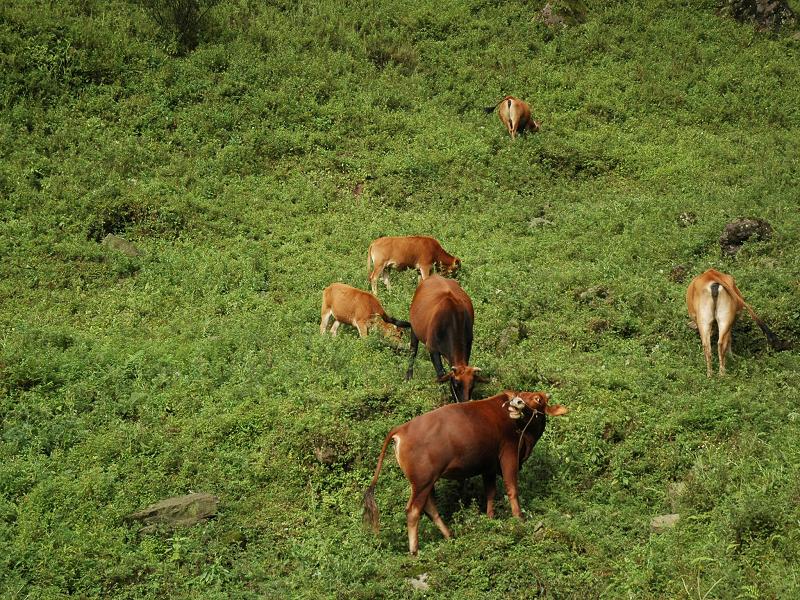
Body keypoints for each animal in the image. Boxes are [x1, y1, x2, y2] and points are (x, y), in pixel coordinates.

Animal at [362, 392, 568, 556]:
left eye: (537, 398)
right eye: (521, 395)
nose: (516, 402)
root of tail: (401, 429)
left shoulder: (488, 466)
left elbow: (490, 492)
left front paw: (490, 518)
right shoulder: (508, 454)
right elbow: (512, 488)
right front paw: (519, 518)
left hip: (425, 482)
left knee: (429, 507)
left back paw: (449, 535)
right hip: (422, 481)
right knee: (413, 511)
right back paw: (414, 550)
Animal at [404, 276, 484, 404]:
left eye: (472, 386)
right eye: (456, 384)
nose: (464, 402)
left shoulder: (468, 345)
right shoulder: (432, 349)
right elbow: (441, 374)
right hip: (414, 329)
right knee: (412, 351)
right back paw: (409, 377)